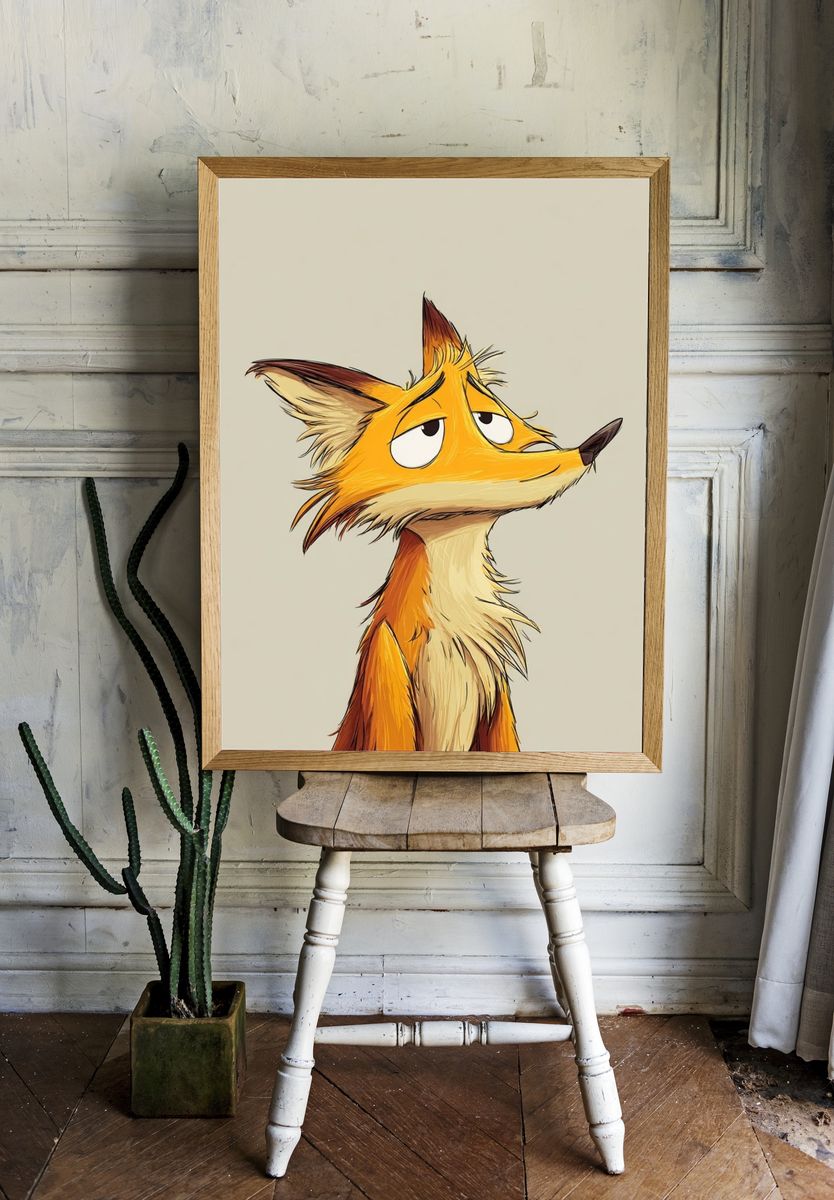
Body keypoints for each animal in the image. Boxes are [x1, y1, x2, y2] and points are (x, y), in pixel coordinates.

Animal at [248, 297, 621, 753]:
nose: (591, 446)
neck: (453, 628)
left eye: (489, 421)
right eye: (428, 433)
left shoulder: (496, 698)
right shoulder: (386, 675)